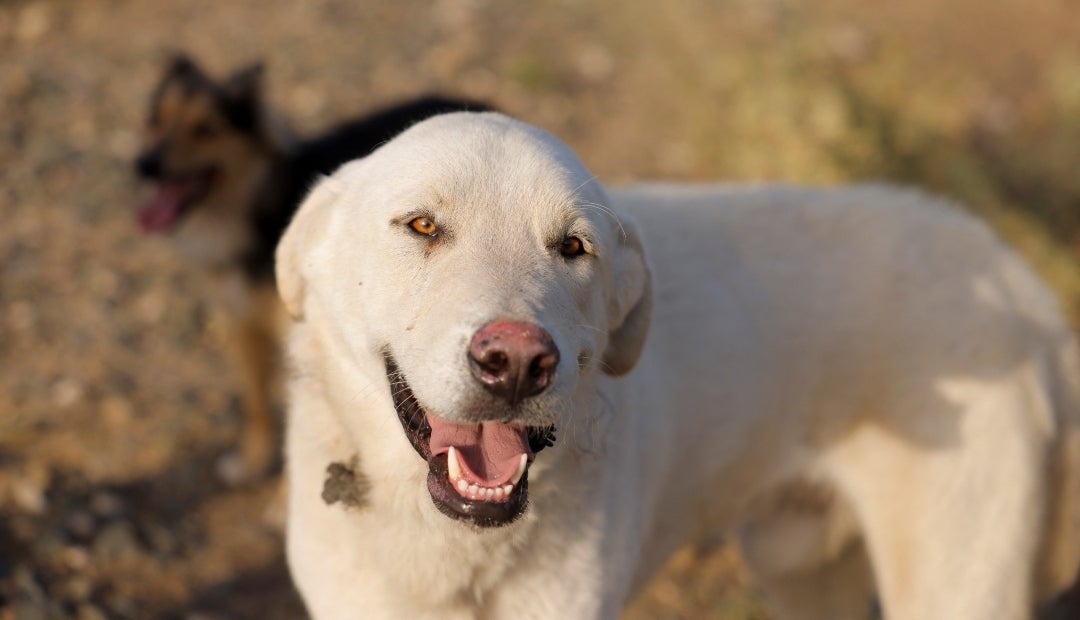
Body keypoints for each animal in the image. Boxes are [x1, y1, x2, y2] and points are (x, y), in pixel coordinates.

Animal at [133, 54, 490, 481]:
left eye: (205, 130)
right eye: (155, 119)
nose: (144, 165)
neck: (255, 208)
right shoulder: (242, 321)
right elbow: (254, 397)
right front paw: (252, 460)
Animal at [274, 112, 1075, 620]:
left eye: (574, 247)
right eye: (422, 226)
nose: (519, 362)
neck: (453, 547)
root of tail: (1017, 276)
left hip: (955, 584)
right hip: (799, 570)